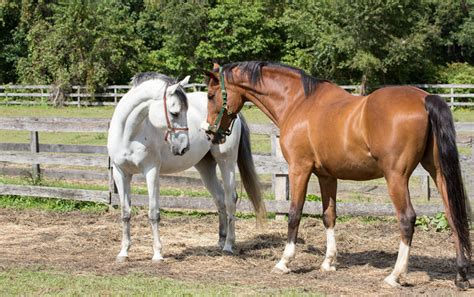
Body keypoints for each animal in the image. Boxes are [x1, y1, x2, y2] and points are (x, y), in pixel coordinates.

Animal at [106, 72, 266, 262]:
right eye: (174, 113)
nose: (183, 147)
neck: (129, 133)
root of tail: (231, 113)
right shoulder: (120, 173)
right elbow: (125, 213)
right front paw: (123, 252)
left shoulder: (151, 172)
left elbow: (153, 213)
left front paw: (157, 254)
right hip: (205, 167)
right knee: (219, 198)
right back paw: (221, 240)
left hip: (226, 162)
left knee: (230, 199)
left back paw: (229, 244)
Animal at [202, 61, 472, 288]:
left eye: (210, 95)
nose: (210, 132)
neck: (298, 102)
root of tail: (424, 98)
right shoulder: (327, 176)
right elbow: (328, 216)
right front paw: (328, 262)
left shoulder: (299, 169)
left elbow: (294, 214)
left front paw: (284, 262)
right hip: (438, 172)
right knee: (453, 215)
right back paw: (461, 275)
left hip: (396, 177)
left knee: (407, 219)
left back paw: (395, 276)